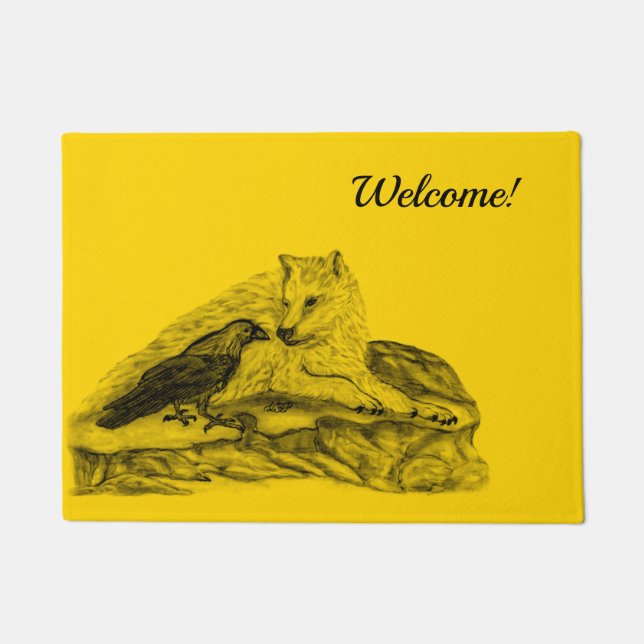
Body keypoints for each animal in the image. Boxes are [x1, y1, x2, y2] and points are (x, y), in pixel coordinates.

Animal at [76, 251, 456, 425]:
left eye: (312, 301)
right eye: (286, 302)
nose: (282, 333)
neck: (324, 341)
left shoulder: (350, 364)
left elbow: (391, 390)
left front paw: (429, 409)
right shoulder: (287, 377)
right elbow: (339, 384)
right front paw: (363, 400)